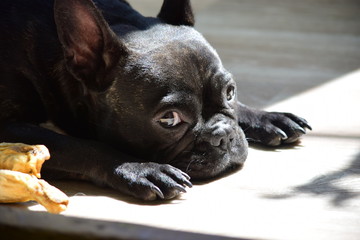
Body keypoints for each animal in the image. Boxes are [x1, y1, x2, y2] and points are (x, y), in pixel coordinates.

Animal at [0, 0, 310, 200]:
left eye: (230, 92)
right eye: (169, 119)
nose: (223, 136)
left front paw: (266, 117)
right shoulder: (8, 128)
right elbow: (76, 145)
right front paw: (142, 169)